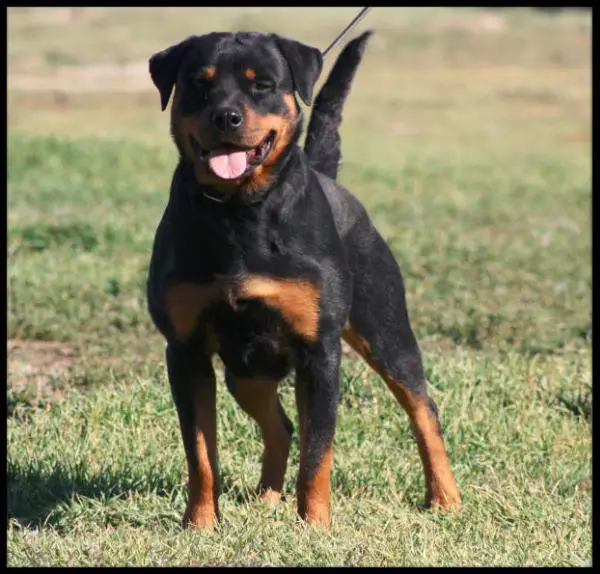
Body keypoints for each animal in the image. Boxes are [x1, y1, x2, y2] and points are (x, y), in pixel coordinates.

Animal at [148, 29, 462, 528]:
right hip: (246, 371)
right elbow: (200, 453)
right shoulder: (185, 350)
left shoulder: (320, 352)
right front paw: (199, 524)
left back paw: (445, 497)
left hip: (385, 329)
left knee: (422, 408)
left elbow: (319, 452)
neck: (240, 211)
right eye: (199, 82)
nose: (227, 116)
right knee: (280, 425)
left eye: (262, 84)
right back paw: (266, 498)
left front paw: (315, 525)